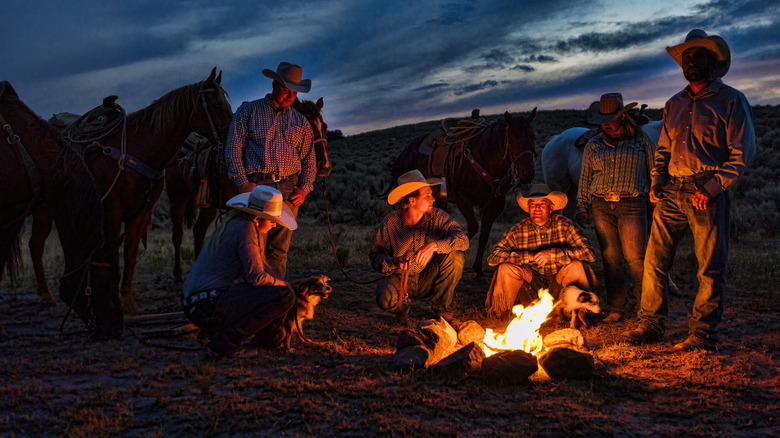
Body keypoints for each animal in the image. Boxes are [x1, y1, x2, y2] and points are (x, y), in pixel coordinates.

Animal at [29, 67, 235, 308]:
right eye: (217, 105)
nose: (232, 135)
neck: (141, 148)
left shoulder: (142, 211)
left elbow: (130, 251)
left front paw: (126, 294)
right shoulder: (113, 209)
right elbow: (112, 252)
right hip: (43, 208)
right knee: (36, 244)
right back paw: (46, 294)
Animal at [166, 97, 330, 282]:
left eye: (324, 126)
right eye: (309, 126)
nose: (325, 166)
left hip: (210, 205)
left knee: (198, 230)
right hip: (177, 197)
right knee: (177, 234)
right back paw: (178, 276)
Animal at [390, 108, 536, 278]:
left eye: (532, 137)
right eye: (511, 139)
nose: (527, 173)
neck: (486, 156)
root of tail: (406, 151)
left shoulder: (496, 203)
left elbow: (484, 234)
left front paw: (478, 268)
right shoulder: (463, 199)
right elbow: (472, 228)